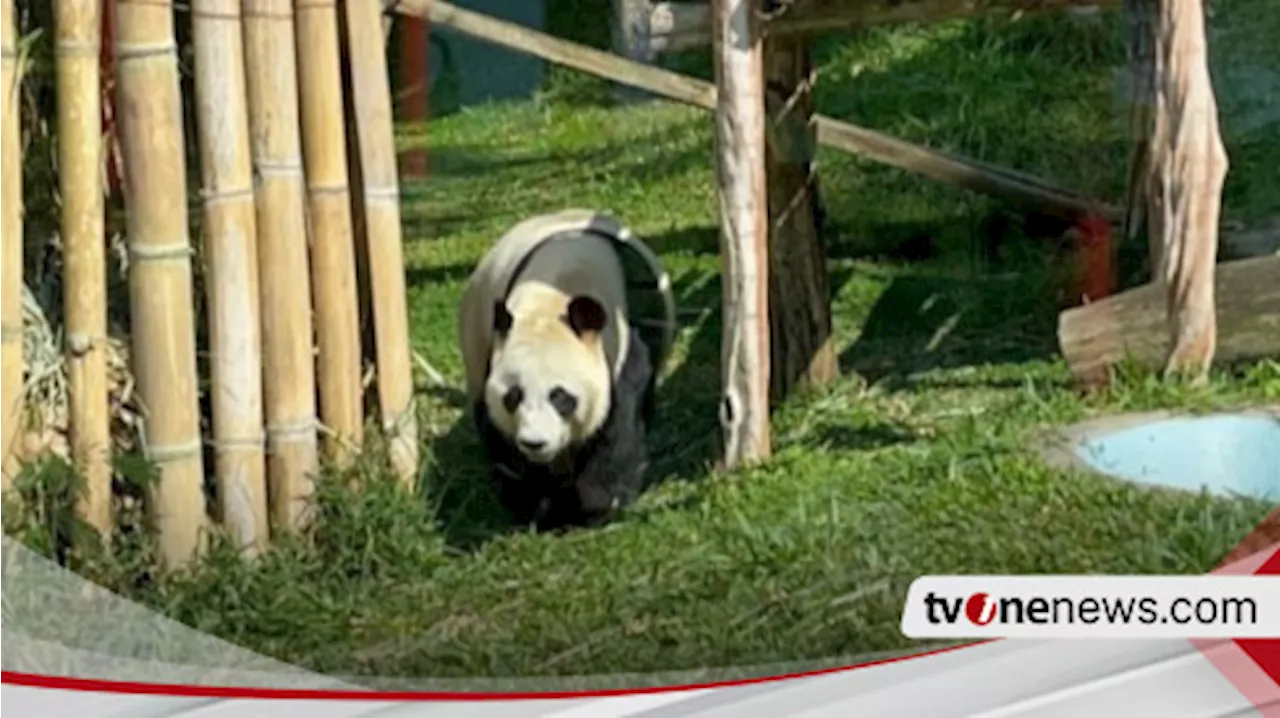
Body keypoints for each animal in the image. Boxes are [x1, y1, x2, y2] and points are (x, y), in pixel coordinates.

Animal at [460, 208, 680, 532]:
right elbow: (504, 446)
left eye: (560, 396)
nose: (535, 443)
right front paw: (538, 509)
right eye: (513, 396)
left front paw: (594, 508)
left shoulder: (622, 349)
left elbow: (617, 430)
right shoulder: (493, 357)